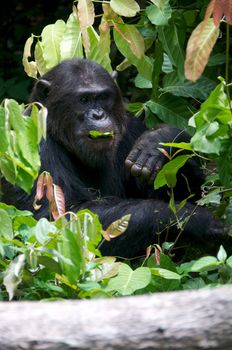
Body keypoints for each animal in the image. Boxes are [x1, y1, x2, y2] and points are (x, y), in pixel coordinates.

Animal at [0, 58, 228, 258]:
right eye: (84, 100)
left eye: (102, 97)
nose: (98, 115)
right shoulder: (32, 142)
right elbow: (57, 220)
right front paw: (192, 218)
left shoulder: (131, 127)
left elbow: (192, 193)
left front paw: (160, 139)